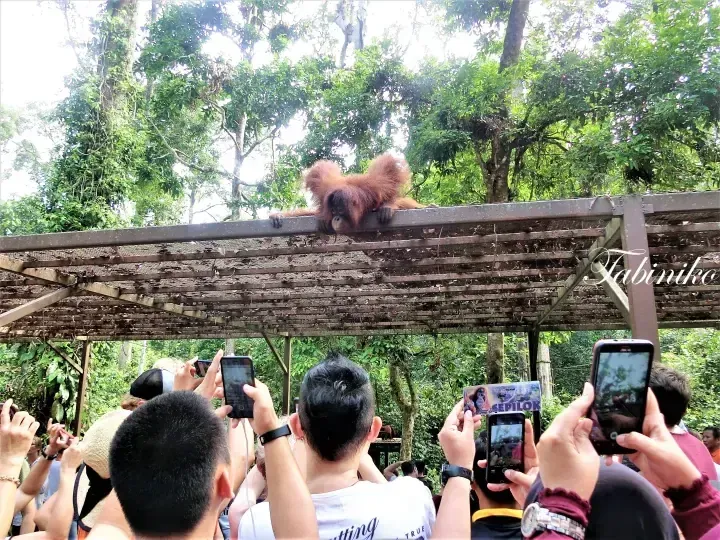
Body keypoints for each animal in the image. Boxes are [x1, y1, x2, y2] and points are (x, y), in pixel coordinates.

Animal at [269, 153, 426, 233]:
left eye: (340, 211)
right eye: (333, 211)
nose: (336, 218)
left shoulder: (374, 187)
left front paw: (388, 207)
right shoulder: (324, 188)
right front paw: (277, 215)